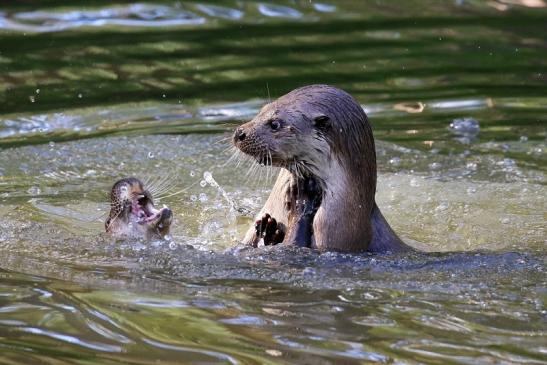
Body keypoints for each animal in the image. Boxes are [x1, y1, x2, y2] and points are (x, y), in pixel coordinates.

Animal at [234, 83, 412, 252]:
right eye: (261, 111)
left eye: (275, 124)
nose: (239, 133)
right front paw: (268, 230)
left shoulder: (332, 229)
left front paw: (300, 201)